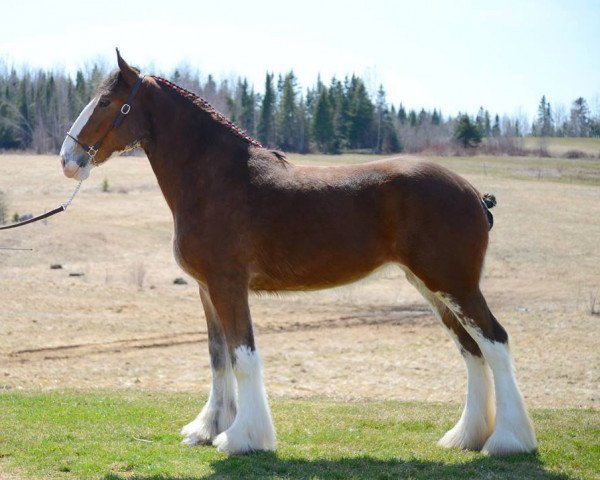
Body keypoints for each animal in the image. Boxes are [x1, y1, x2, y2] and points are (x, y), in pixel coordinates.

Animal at [58, 50, 536, 456]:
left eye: (106, 102)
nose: (67, 159)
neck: (216, 178)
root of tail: (473, 193)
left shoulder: (229, 286)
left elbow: (242, 356)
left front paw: (242, 438)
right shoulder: (207, 290)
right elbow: (217, 357)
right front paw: (208, 429)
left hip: (455, 284)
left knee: (495, 343)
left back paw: (508, 441)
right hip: (432, 288)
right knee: (471, 351)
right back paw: (465, 437)